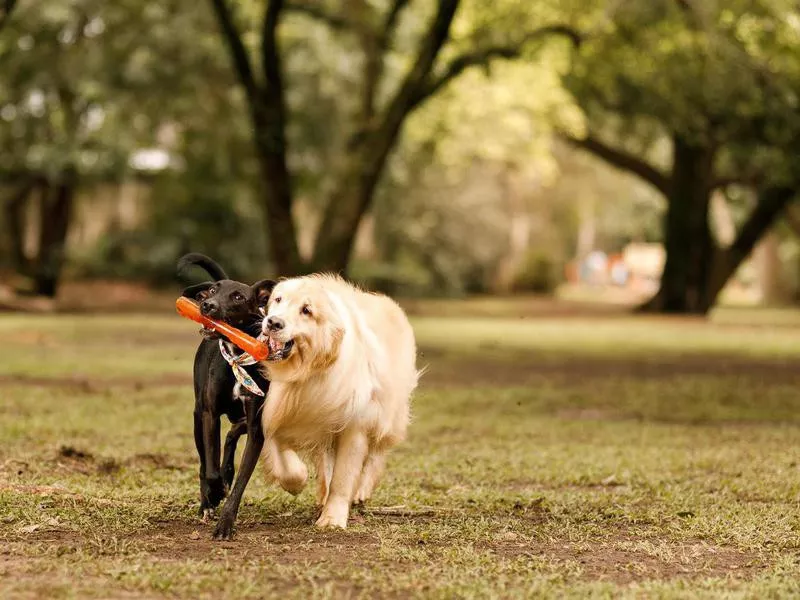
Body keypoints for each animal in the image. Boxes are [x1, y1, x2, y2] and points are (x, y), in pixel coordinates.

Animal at [177, 252, 276, 540]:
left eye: (238, 297)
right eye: (212, 291)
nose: (207, 305)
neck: (236, 354)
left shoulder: (256, 427)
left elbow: (240, 483)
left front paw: (226, 523)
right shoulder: (210, 414)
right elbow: (210, 469)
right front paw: (215, 492)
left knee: (232, 434)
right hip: (197, 417)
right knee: (204, 463)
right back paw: (207, 502)